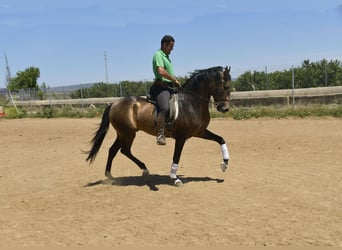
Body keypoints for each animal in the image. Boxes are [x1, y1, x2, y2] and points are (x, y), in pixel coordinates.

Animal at [85, 65, 232, 187]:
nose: (225, 108)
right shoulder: (181, 137)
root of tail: (114, 104)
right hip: (128, 133)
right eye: (226, 87)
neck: (191, 102)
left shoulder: (199, 132)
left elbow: (221, 139)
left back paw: (110, 176)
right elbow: (176, 156)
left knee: (114, 150)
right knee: (124, 150)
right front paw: (175, 178)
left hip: (123, 133)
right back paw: (144, 170)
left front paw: (225, 164)